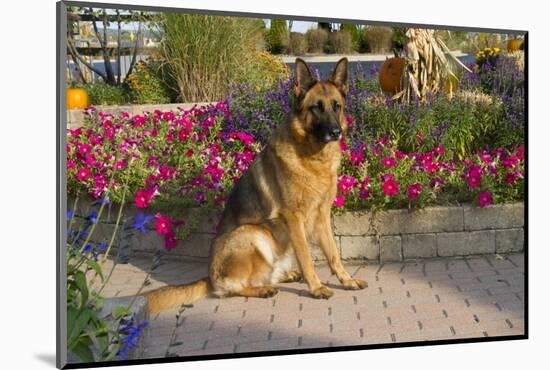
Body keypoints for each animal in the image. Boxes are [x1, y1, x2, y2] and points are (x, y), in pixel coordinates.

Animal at [147, 57, 368, 312]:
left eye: (336, 106)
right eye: (316, 108)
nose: (336, 132)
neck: (312, 158)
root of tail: (210, 277)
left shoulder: (322, 216)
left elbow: (334, 254)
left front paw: (347, 280)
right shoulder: (293, 219)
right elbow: (306, 258)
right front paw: (316, 288)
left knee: (268, 274)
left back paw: (285, 276)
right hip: (253, 233)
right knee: (233, 288)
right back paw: (263, 289)